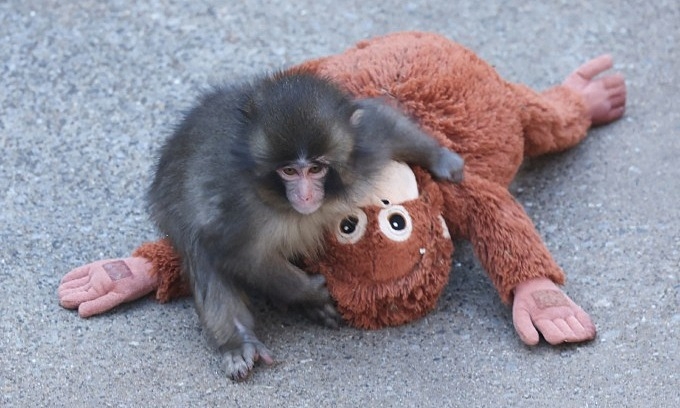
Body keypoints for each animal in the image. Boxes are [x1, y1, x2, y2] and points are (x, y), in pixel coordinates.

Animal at [147, 71, 464, 380]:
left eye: (315, 168)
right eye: (289, 171)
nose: (306, 195)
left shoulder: (363, 148)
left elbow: (383, 122)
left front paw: (442, 159)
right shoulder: (237, 207)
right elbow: (237, 254)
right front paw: (310, 292)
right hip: (170, 209)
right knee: (200, 251)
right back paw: (238, 340)